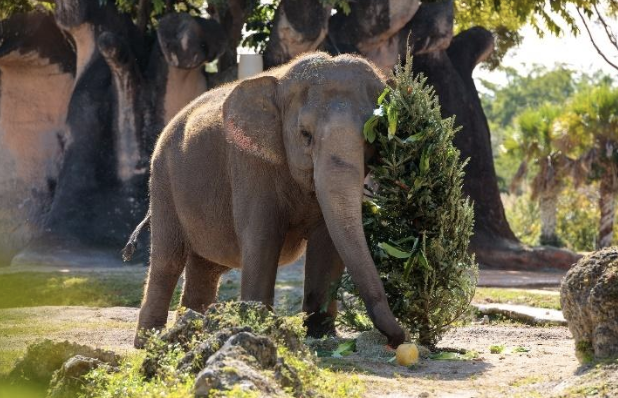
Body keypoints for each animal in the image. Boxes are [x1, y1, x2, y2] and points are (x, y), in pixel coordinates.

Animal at [131, 50, 404, 348]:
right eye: (305, 135)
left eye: (374, 136)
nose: (397, 338)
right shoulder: (249, 164)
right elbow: (263, 236)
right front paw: (256, 329)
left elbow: (328, 242)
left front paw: (322, 337)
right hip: (163, 181)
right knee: (167, 261)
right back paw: (149, 343)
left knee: (206, 268)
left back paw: (188, 335)